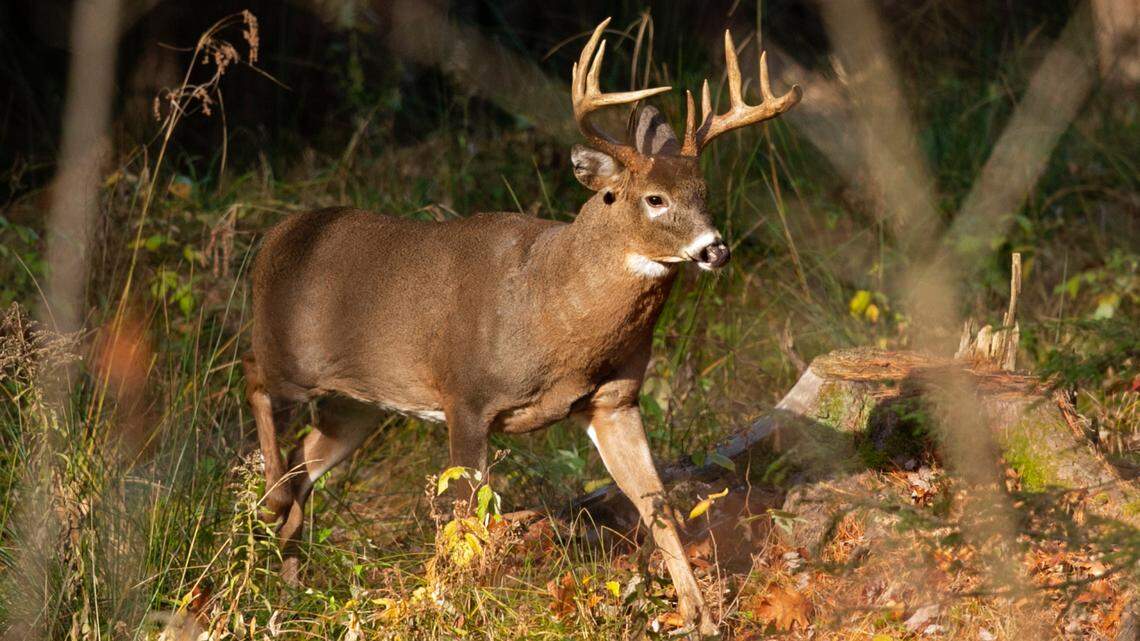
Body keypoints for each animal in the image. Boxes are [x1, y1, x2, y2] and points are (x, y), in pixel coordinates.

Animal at [243, 18, 799, 635]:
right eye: (654, 198)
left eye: (703, 194)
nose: (716, 249)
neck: (551, 315)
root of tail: (274, 238)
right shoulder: (464, 395)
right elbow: (467, 522)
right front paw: (456, 609)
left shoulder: (614, 400)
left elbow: (656, 506)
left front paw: (700, 619)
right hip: (287, 356)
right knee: (255, 383)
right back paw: (269, 511)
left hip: (358, 404)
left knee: (304, 463)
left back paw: (287, 585)